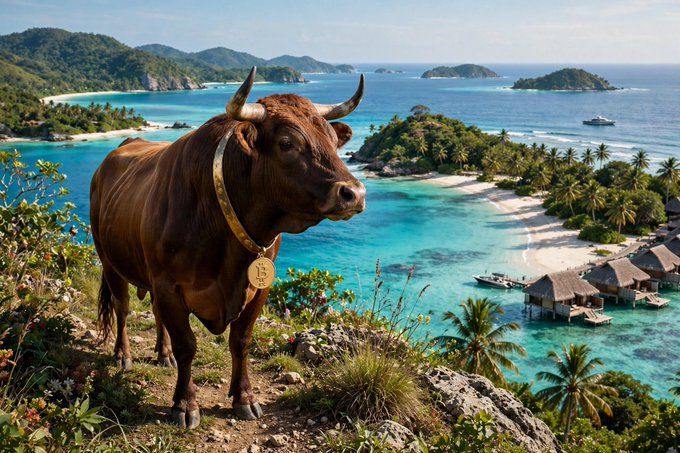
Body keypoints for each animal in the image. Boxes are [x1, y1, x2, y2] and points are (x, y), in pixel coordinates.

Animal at [89, 67, 366, 428]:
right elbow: (187, 345)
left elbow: (241, 341)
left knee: (155, 314)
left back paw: (163, 354)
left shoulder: (259, 288)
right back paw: (123, 355)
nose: (354, 193)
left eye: (334, 141)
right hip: (110, 260)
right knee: (122, 308)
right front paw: (185, 404)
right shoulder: (168, 285)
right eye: (287, 143)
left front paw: (244, 397)